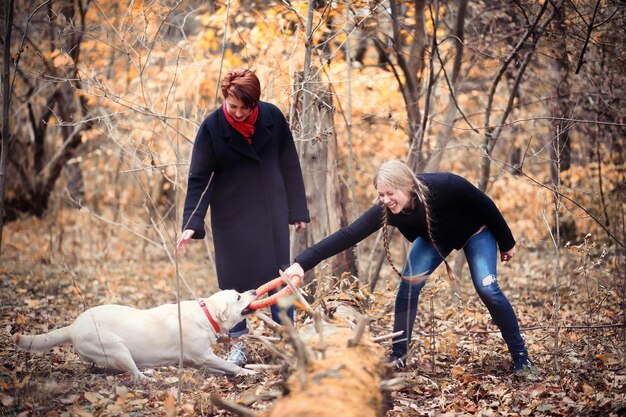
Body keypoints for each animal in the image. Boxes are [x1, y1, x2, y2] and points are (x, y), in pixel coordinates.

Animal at [15, 288, 258, 378]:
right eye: (238, 297)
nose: (255, 290)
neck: (205, 314)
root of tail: (74, 326)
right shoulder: (204, 355)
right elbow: (228, 365)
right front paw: (246, 372)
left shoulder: (199, 360)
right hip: (117, 348)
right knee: (134, 375)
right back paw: (148, 377)